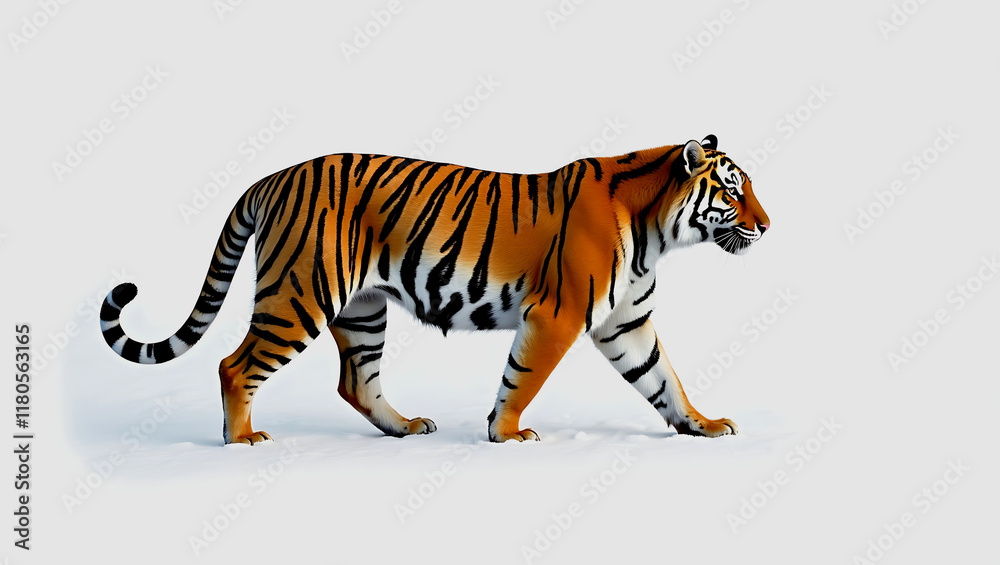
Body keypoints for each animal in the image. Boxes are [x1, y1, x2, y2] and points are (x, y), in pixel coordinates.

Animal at [100, 134, 769, 445]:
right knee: (235, 365)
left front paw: (703, 425)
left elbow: (664, 380)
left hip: (362, 310)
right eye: (733, 191)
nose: (767, 225)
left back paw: (404, 427)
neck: (656, 230)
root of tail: (273, 176)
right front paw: (507, 433)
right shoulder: (556, 315)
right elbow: (523, 377)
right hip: (299, 295)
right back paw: (241, 438)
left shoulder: (624, 321)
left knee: (355, 382)